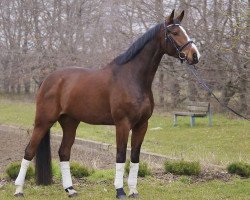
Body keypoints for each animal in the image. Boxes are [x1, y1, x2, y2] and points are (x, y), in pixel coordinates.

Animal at [14, 10, 201, 199]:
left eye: (184, 31)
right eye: (174, 32)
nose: (195, 55)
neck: (132, 77)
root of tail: (48, 79)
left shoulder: (142, 125)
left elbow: (135, 156)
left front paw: (133, 190)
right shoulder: (123, 124)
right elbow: (120, 155)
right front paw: (120, 191)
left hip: (70, 122)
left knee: (64, 152)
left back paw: (70, 189)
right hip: (43, 121)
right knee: (29, 151)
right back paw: (19, 189)